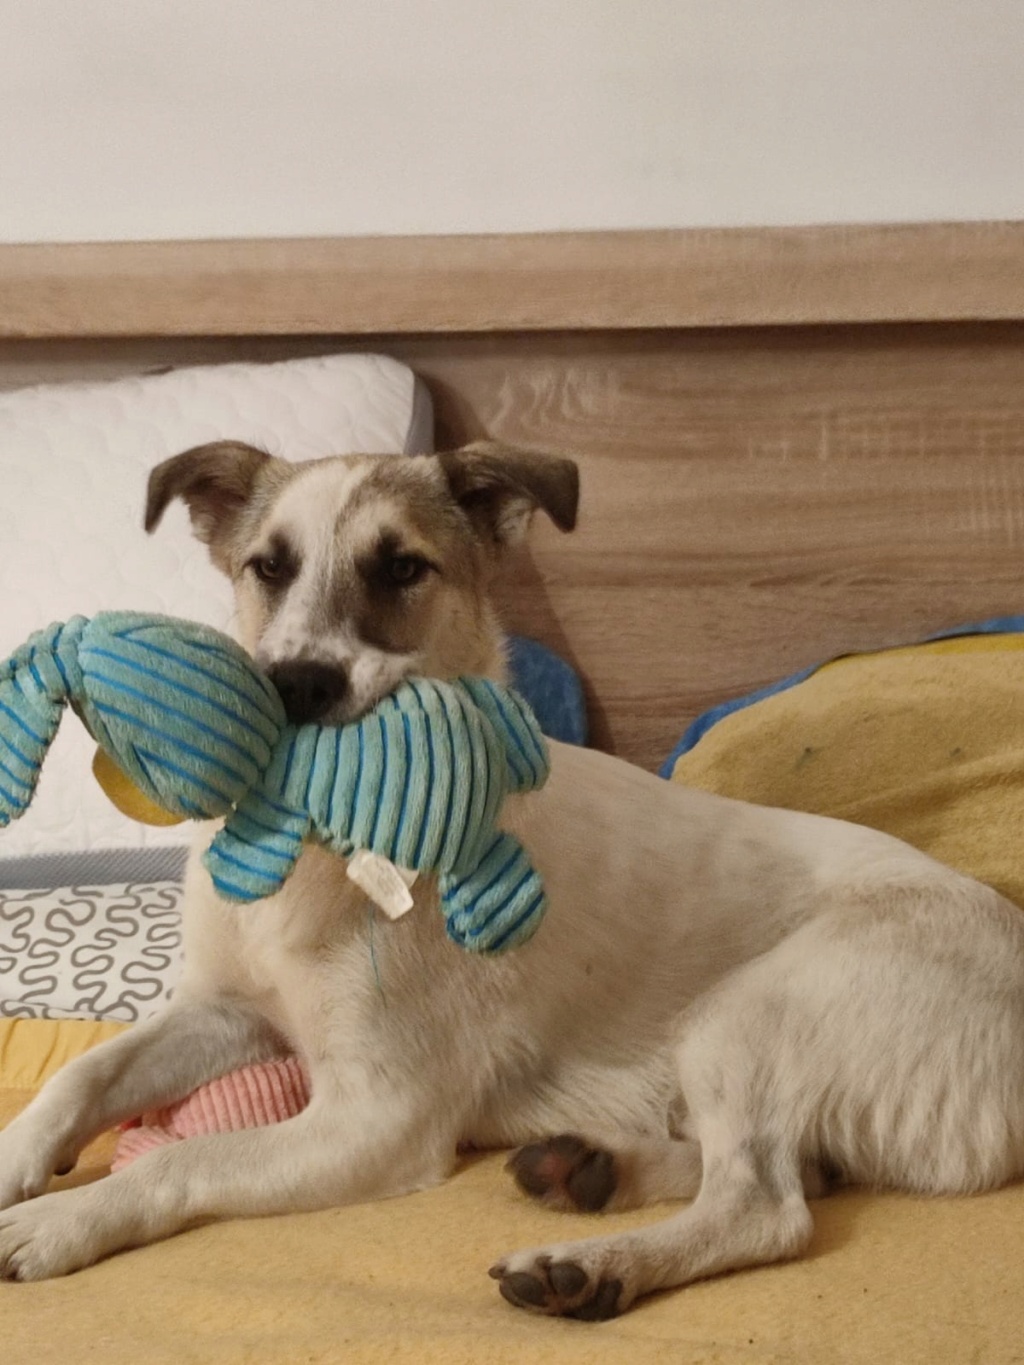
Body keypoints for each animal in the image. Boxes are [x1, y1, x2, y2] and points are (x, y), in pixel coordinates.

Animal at [2, 436, 1024, 1310]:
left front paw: (60, 1219)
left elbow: (182, 1161)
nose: (298, 685)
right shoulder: (223, 1011)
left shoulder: (379, 1118)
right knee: (791, 1169)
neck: (312, 851)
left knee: (767, 1204)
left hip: (745, 1013)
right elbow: (83, 1076)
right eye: (270, 567)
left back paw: (591, 1266)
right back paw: (585, 1170)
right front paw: (19, 1158)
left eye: (402, 567)